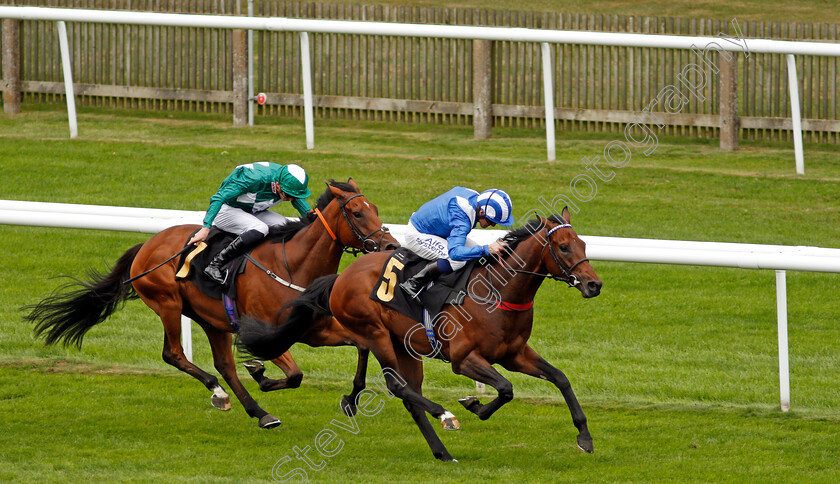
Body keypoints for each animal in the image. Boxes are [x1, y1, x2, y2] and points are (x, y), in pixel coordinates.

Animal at [23, 180, 398, 430]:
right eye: (357, 212)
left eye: (377, 209)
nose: (390, 245)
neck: (293, 264)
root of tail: (147, 244)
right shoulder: (265, 333)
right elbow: (294, 375)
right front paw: (261, 373)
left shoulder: (313, 329)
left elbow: (361, 346)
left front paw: (350, 399)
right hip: (167, 303)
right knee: (175, 354)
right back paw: (221, 394)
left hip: (212, 319)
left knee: (225, 365)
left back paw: (259, 412)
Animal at [236, 208, 600, 458]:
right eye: (563, 247)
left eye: (584, 244)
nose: (594, 284)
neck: (498, 292)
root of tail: (341, 277)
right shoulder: (464, 359)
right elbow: (506, 389)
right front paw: (473, 404)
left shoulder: (514, 354)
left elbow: (560, 378)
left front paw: (584, 437)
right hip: (375, 332)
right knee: (398, 386)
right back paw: (445, 415)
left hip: (403, 345)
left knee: (410, 394)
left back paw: (442, 451)